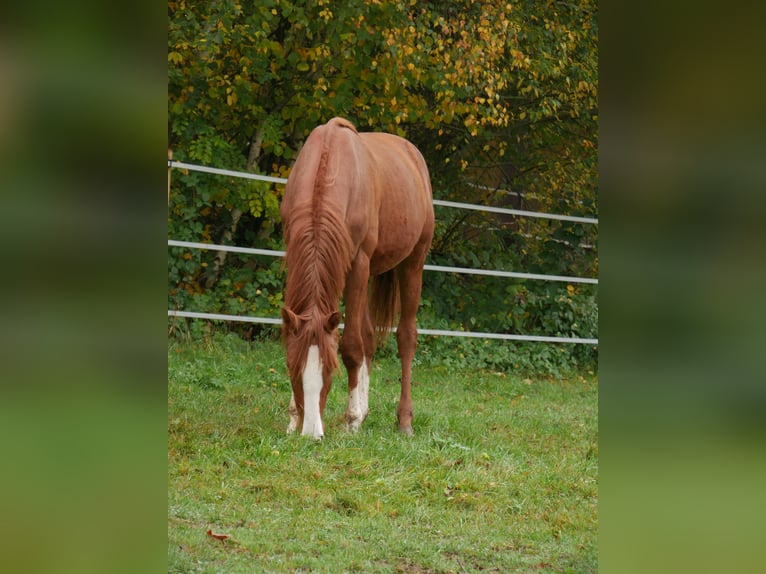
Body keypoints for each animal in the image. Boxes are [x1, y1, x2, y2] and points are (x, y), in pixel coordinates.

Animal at [280, 118, 438, 440]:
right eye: (292, 367)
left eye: (330, 370)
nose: (311, 433)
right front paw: (293, 418)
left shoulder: (358, 265)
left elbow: (352, 347)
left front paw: (352, 419)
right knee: (369, 337)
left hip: (413, 262)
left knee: (406, 337)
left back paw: (403, 421)